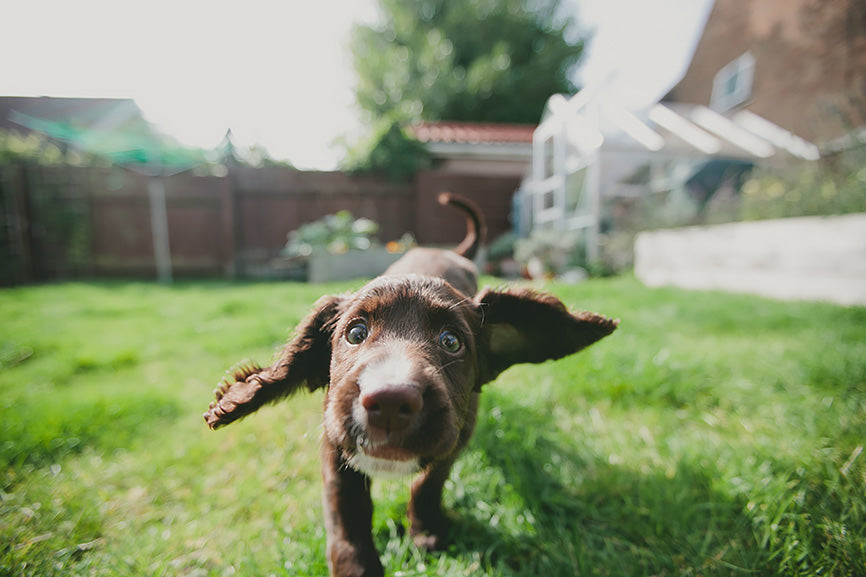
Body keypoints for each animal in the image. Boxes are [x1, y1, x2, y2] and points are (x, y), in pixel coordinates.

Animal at [206, 194, 616, 576]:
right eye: (355, 333)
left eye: (451, 342)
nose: (389, 401)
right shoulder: (333, 441)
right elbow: (346, 508)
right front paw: (356, 566)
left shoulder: (457, 433)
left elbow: (428, 482)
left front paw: (427, 531)